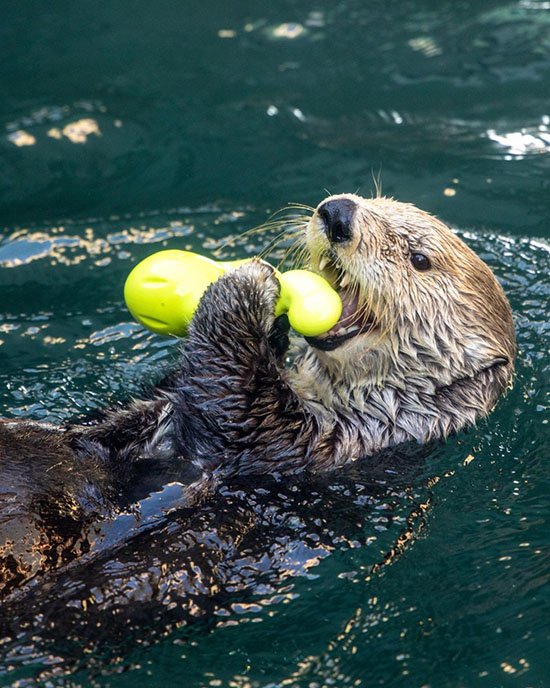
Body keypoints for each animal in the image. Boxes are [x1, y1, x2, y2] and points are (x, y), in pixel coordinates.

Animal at [0, 193, 515, 600]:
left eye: (419, 259)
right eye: (373, 201)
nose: (338, 213)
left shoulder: (308, 444)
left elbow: (235, 402)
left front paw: (248, 287)